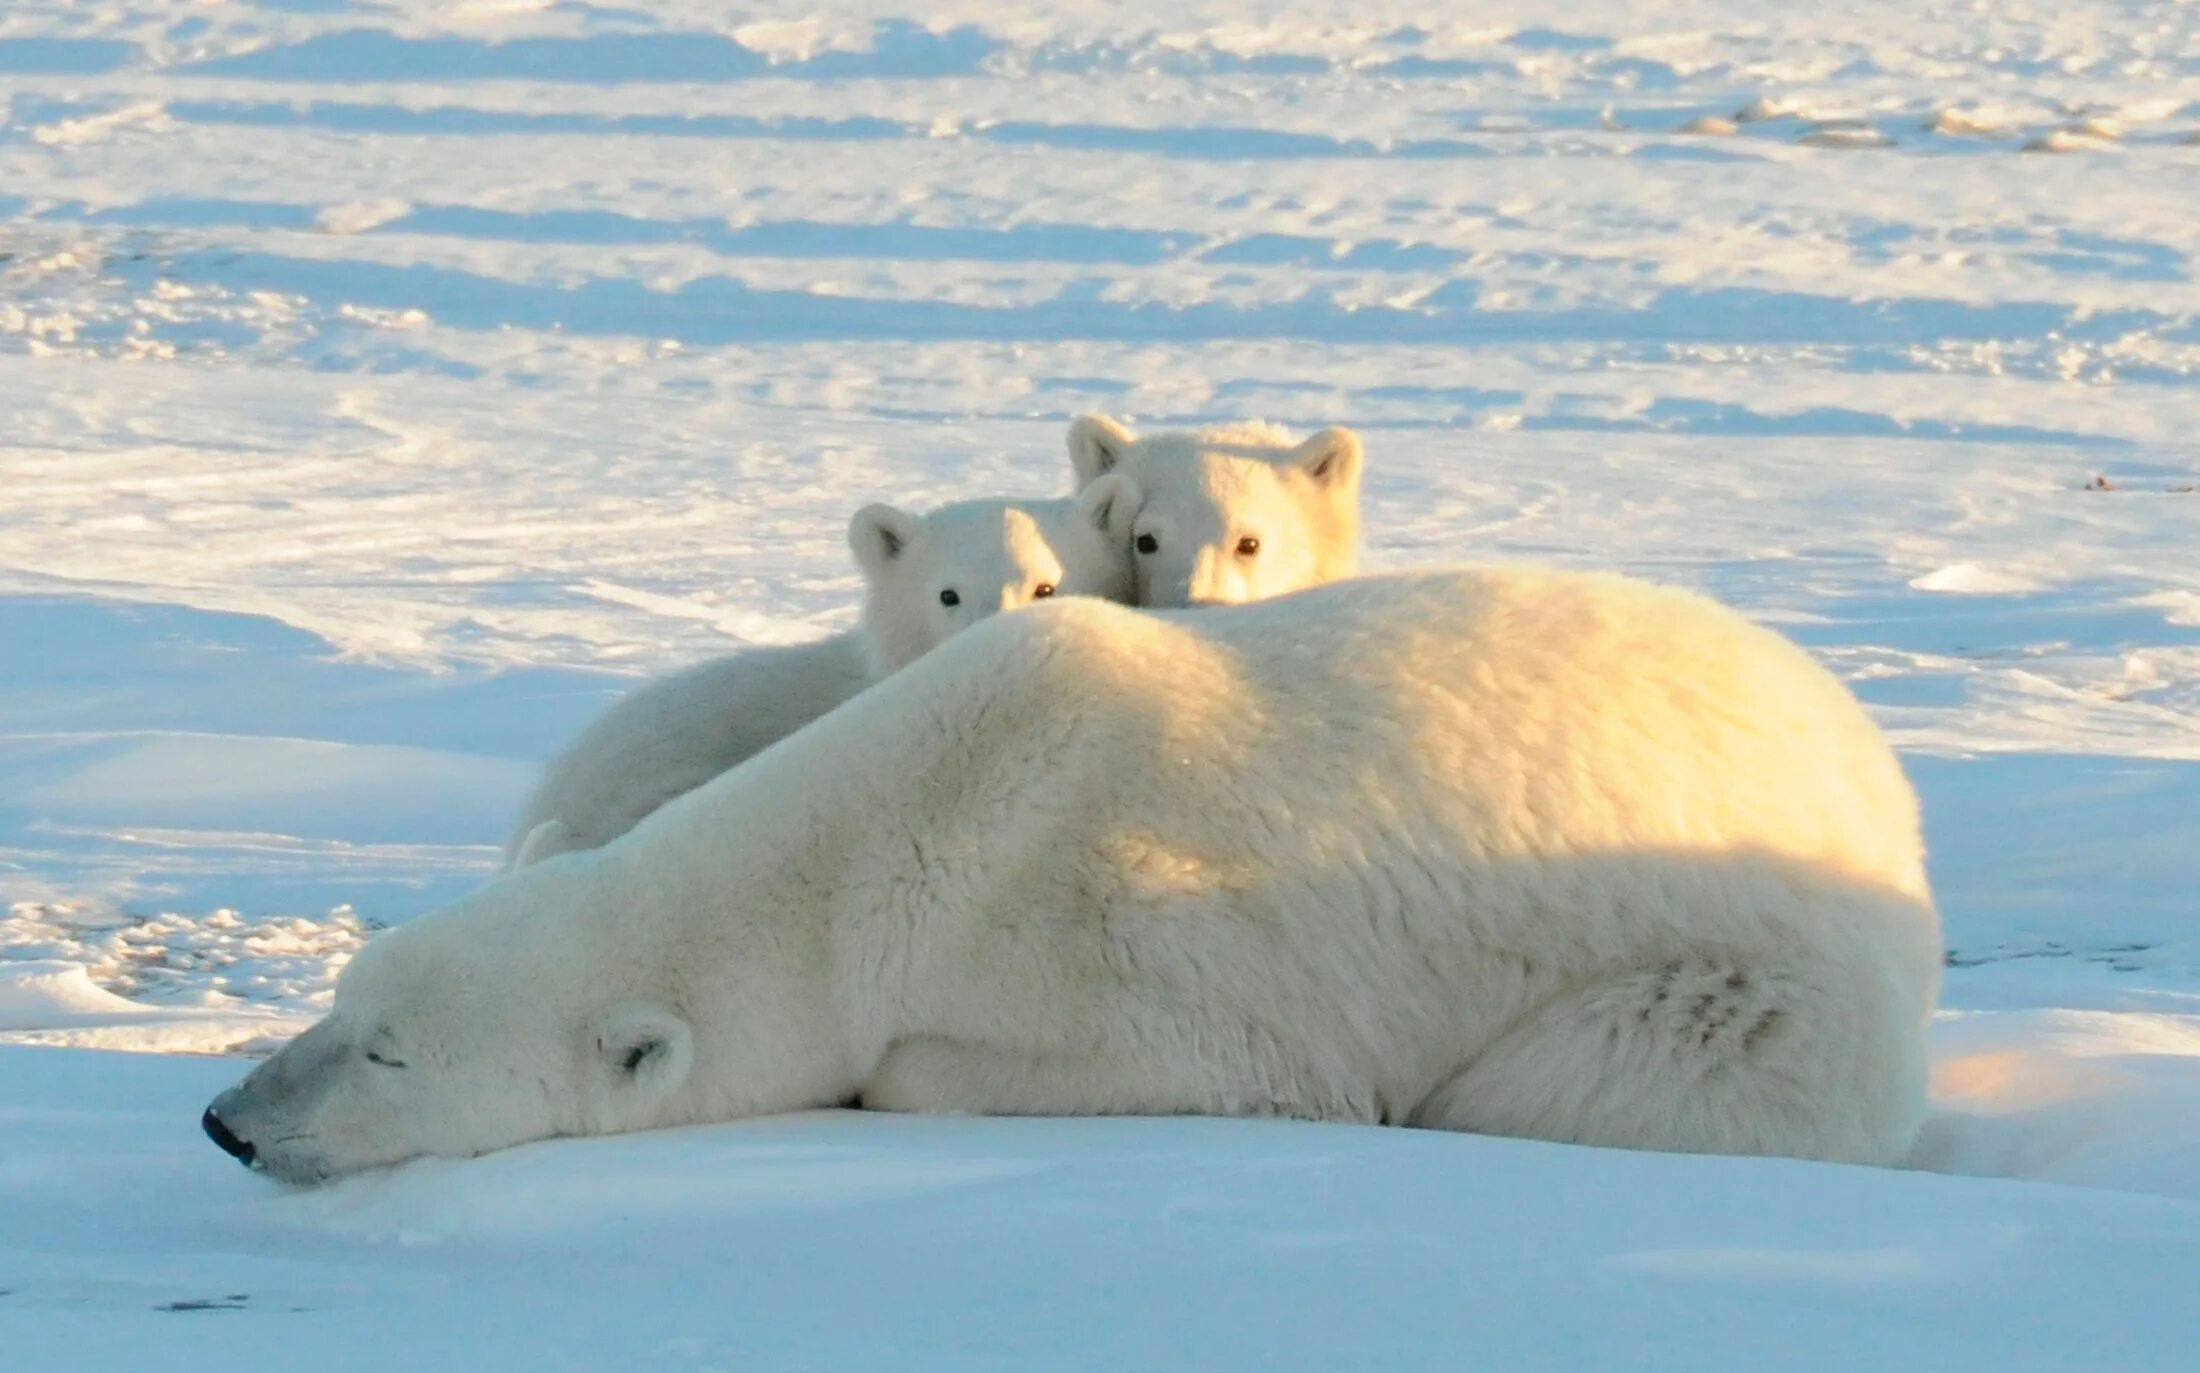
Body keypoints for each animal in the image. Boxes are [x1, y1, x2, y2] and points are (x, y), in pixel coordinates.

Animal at [198, 563, 1936, 1188]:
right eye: (342, 997)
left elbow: (1210, 1066)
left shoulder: (1144, 936)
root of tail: (1881, 778)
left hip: (1746, 978)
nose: (228, 1118)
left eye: (390, 1054)